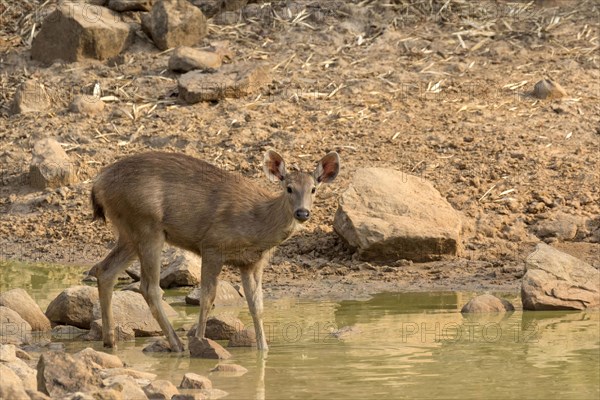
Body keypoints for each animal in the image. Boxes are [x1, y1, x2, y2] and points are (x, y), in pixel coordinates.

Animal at [91, 150, 340, 354]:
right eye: (289, 188)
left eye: (314, 189)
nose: (302, 212)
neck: (257, 222)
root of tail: (98, 184)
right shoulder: (212, 246)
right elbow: (207, 298)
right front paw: (200, 341)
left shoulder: (253, 262)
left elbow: (256, 305)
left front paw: (263, 350)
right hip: (147, 225)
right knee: (148, 287)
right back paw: (177, 345)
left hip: (129, 232)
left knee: (105, 271)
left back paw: (110, 341)